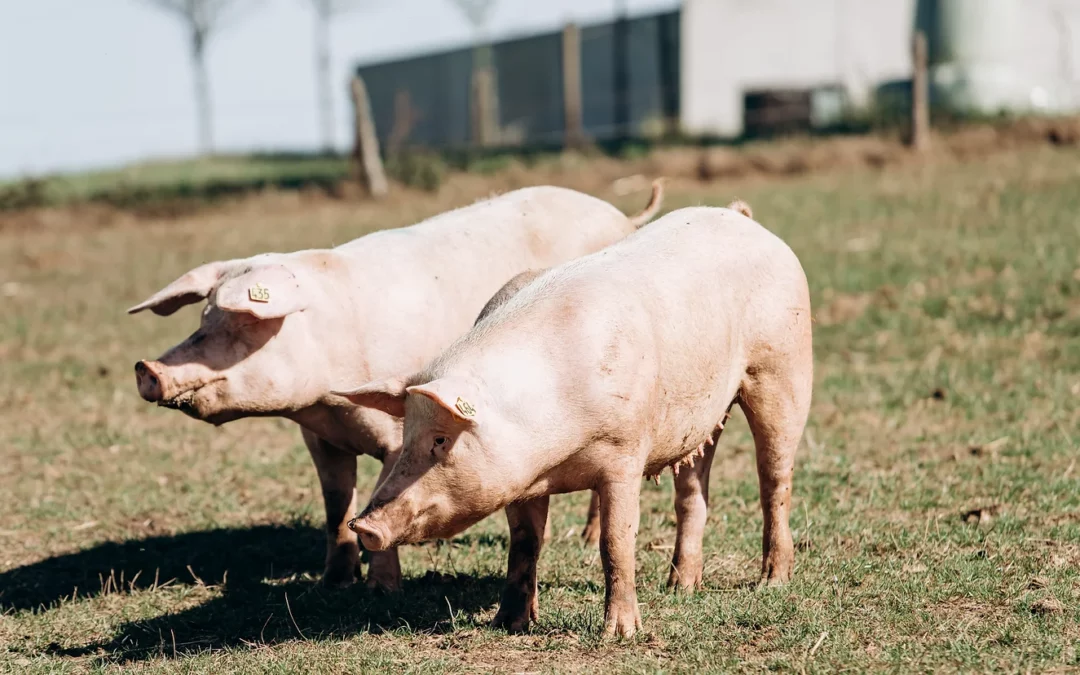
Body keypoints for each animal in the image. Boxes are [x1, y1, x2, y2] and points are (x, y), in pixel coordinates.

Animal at [130, 182, 660, 587]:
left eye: (242, 322)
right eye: (204, 316)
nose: (147, 369)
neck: (328, 399)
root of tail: (619, 213)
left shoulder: (395, 433)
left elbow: (380, 489)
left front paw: (383, 589)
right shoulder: (319, 438)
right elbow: (335, 506)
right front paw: (335, 582)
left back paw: (587, 537)